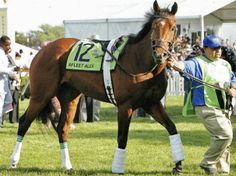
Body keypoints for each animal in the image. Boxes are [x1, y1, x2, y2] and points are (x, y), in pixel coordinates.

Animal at [9, 1, 184, 175]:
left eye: (173, 28)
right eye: (154, 26)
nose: (160, 54)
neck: (139, 63)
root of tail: (42, 50)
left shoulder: (151, 104)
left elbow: (172, 127)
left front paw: (178, 164)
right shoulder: (125, 106)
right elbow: (122, 137)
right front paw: (117, 168)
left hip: (70, 98)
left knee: (62, 129)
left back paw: (67, 165)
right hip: (41, 95)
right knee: (24, 122)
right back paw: (13, 161)